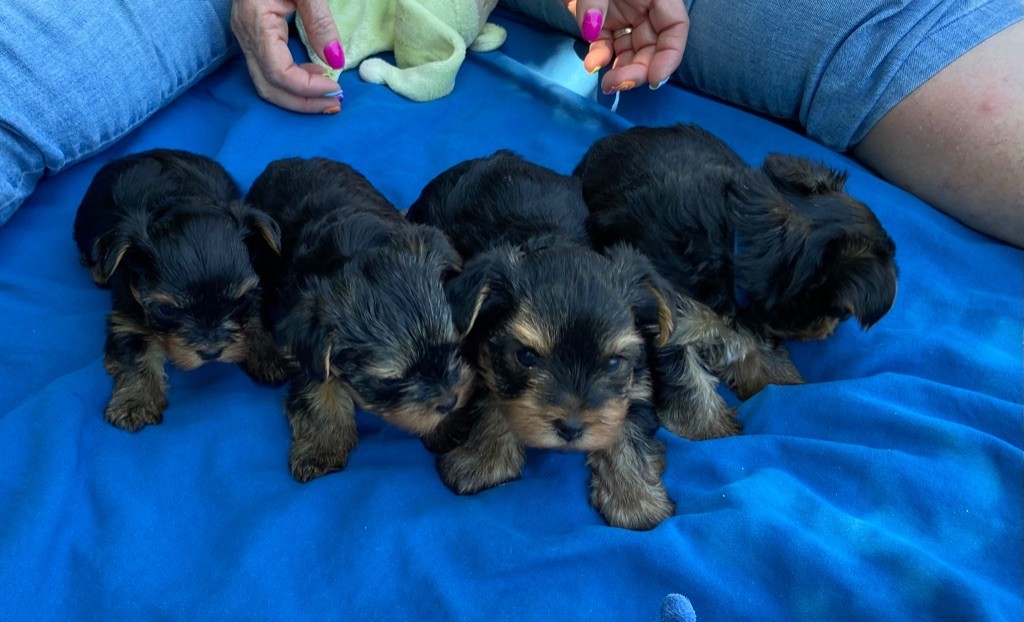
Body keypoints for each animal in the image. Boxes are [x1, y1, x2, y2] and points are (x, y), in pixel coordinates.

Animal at [74, 150, 288, 432]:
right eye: (166, 309)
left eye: (240, 300)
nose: (211, 352)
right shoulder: (128, 315)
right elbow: (136, 354)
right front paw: (136, 402)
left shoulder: (256, 282)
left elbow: (255, 316)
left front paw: (267, 354)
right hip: (87, 223)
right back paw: (99, 268)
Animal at [245, 157, 473, 483]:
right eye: (390, 380)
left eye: (453, 347)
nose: (449, 401)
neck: (357, 252)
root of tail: (282, 162)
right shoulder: (308, 344)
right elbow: (317, 390)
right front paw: (322, 446)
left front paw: (447, 424)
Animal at [407, 148, 696, 528]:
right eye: (527, 357)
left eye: (613, 363)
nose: (571, 427)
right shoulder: (488, 356)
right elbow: (494, 400)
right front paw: (483, 461)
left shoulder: (636, 383)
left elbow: (627, 429)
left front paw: (635, 500)